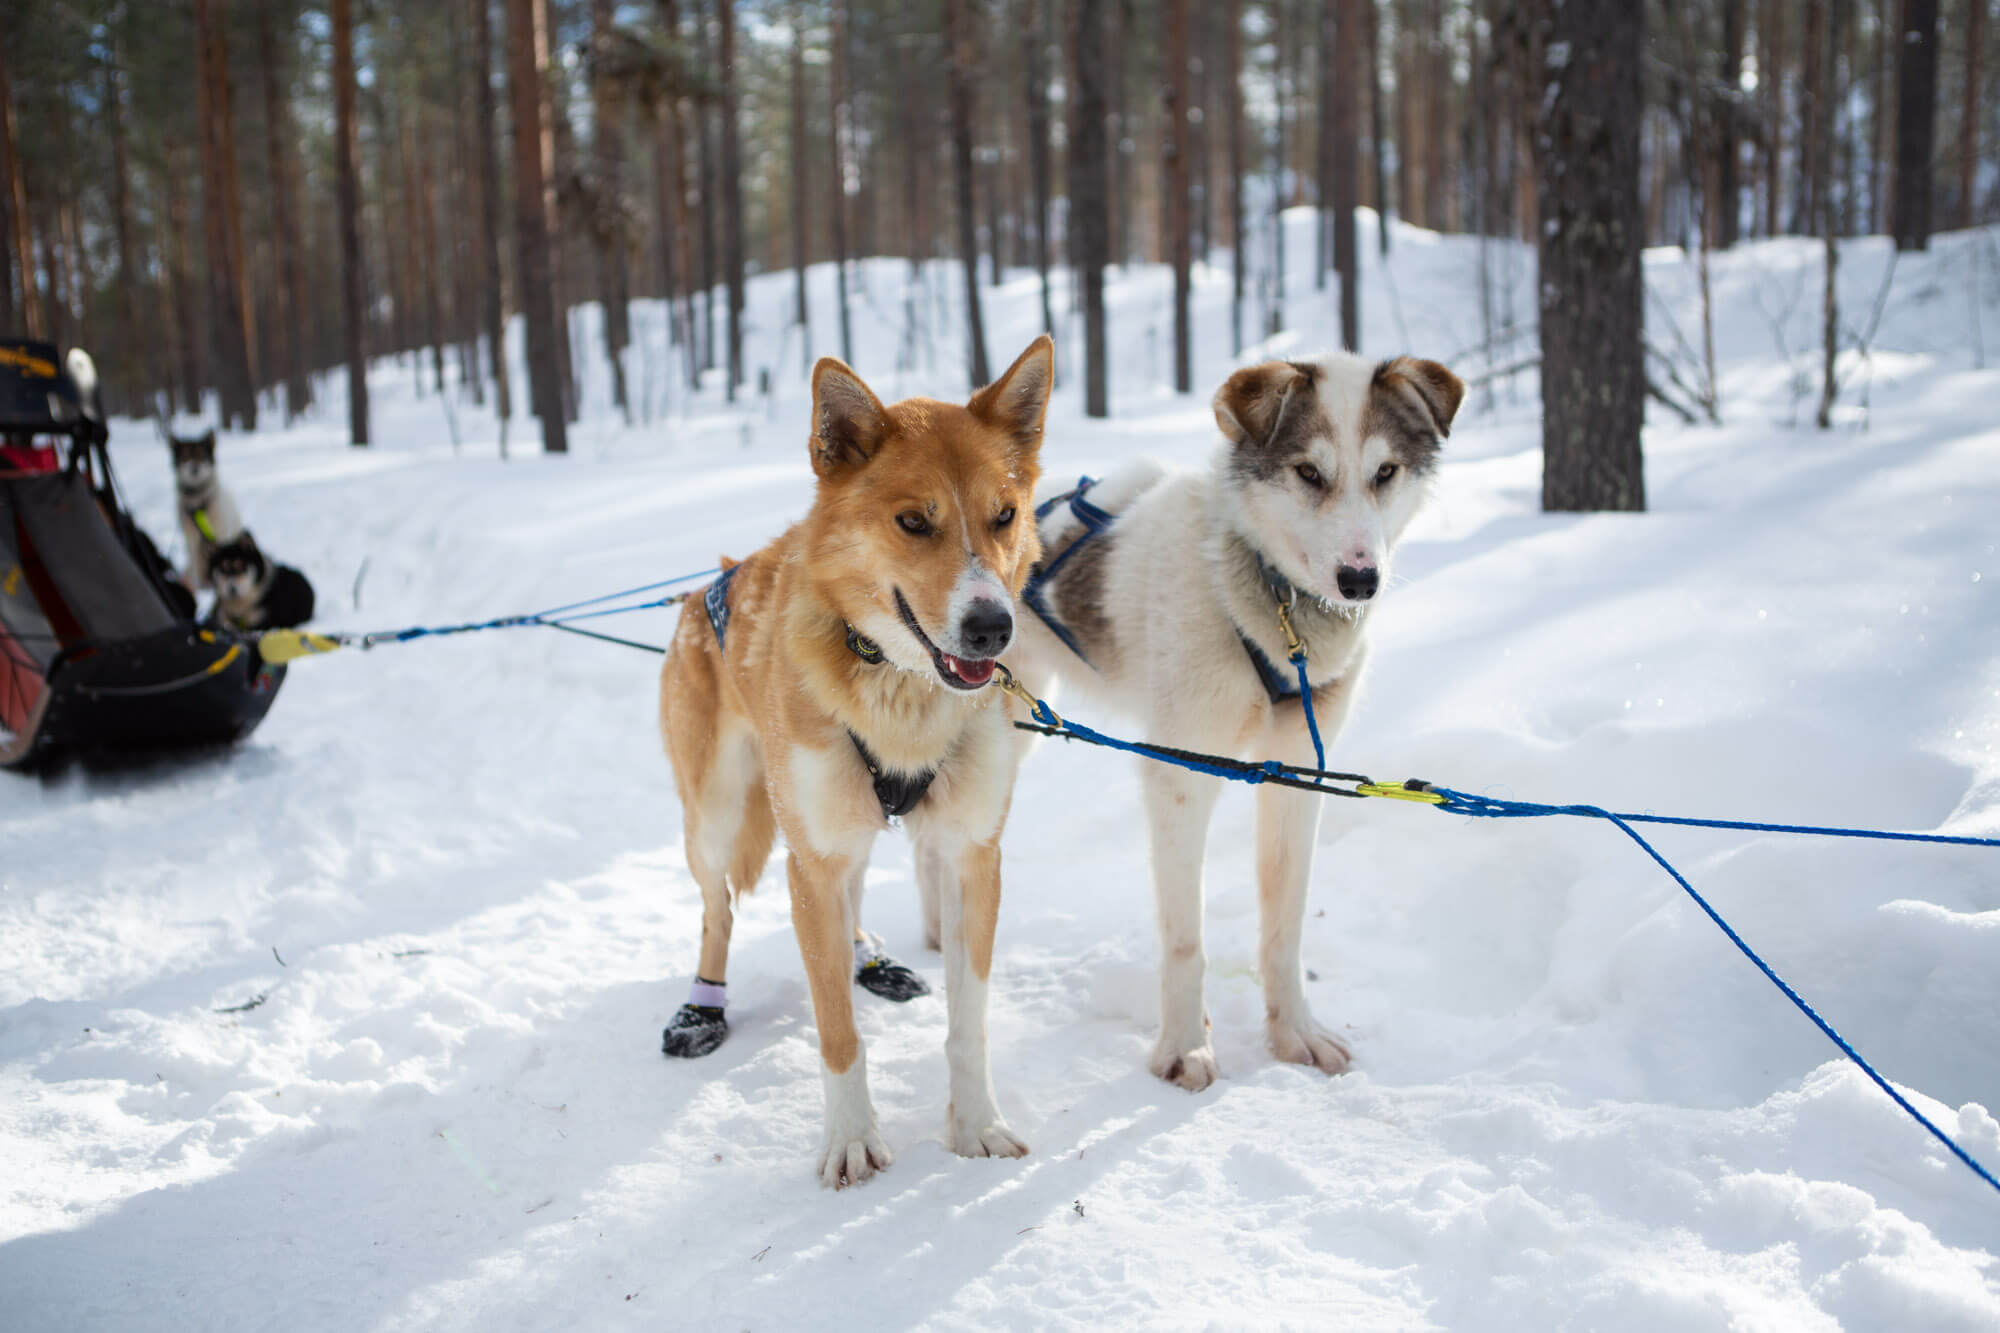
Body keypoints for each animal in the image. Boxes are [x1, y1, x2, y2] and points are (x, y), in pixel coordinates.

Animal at [168, 430, 246, 588]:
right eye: (185, 456)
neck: (200, 506)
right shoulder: (191, 541)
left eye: (201, 455)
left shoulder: (222, 534)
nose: (194, 469)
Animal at [660, 332, 1064, 1184]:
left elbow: (969, 1021)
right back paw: (702, 1005)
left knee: (846, 903)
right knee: (718, 910)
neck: (899, 686)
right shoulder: (807, 864)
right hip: (717, 820)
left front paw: (976, 1124)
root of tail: (710, 582)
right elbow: (838, 1033)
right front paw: (850, 1139)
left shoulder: (972, 856)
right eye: (913, 521)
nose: (992, 628)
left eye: (1004, 515)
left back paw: (868, 959)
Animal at [992, 352, 1464, 1088]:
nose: (1361, 579)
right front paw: (1185, 1046)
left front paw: (1294, 1034)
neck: (1267, 603)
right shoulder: (1181, 773)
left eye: (1385, 472)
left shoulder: (1297, 777)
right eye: (1308, 472)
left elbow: (1284, 928)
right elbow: (1186, 938)